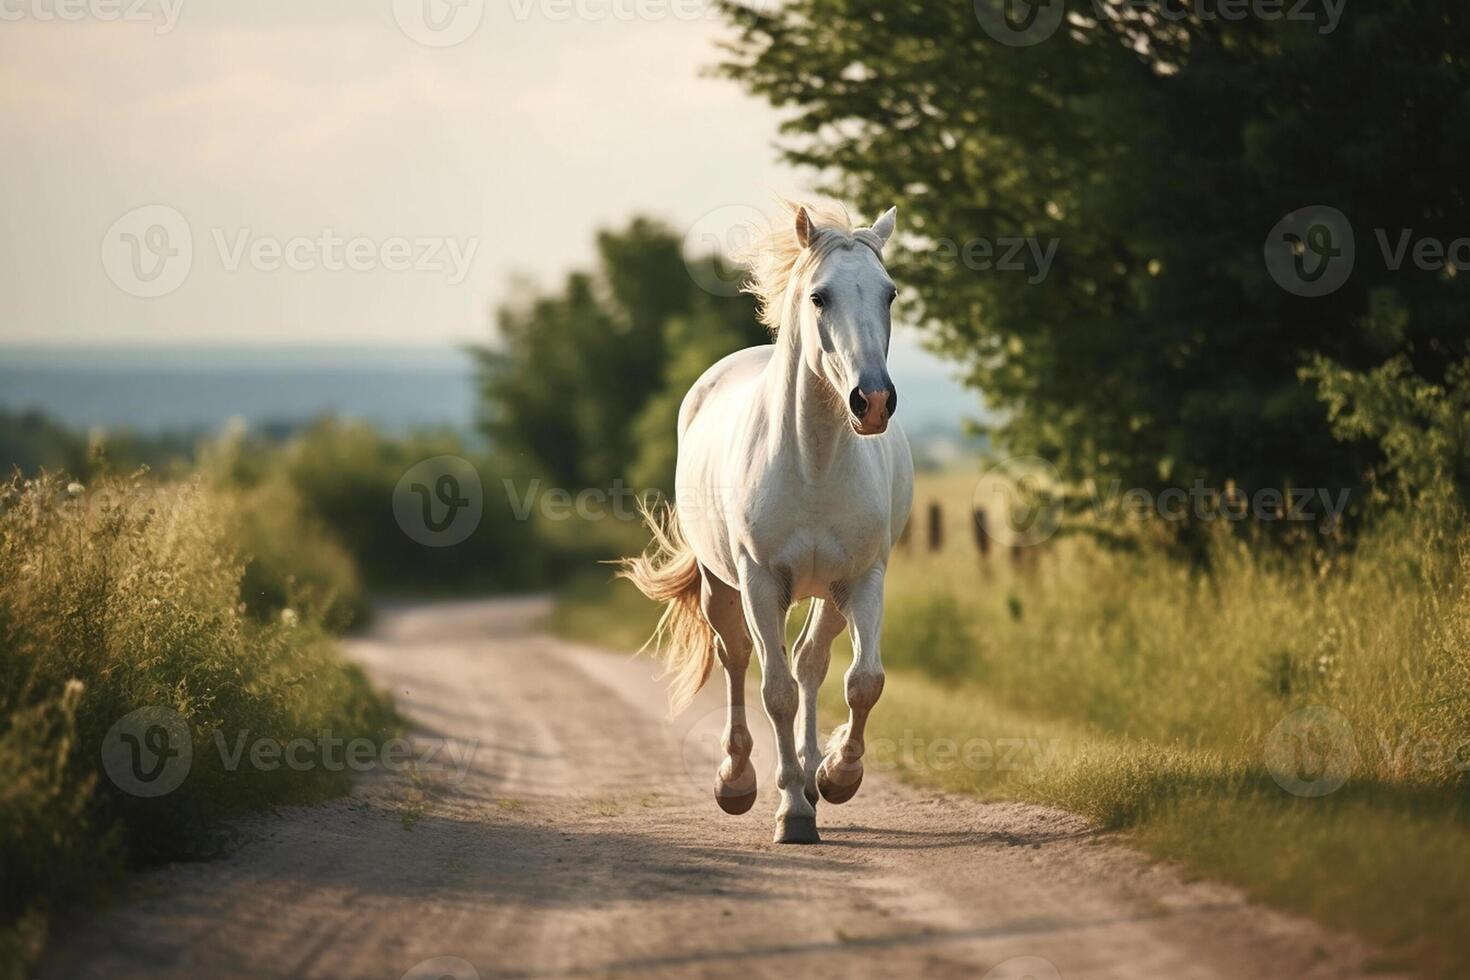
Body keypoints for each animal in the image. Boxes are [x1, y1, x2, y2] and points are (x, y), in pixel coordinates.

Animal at [617, 201, 911, 846]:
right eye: (820, 297)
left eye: (890, 294)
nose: (872, 401)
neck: (813, 459)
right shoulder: (760, 581)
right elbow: (774, 691)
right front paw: (792, 813)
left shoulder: (863, 579)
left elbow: (864, 681)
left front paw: (835, 778)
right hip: (722, 587)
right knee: (737, 661)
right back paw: (739, 782)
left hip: (827, 593)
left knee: (810, 662)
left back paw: (812, 774)